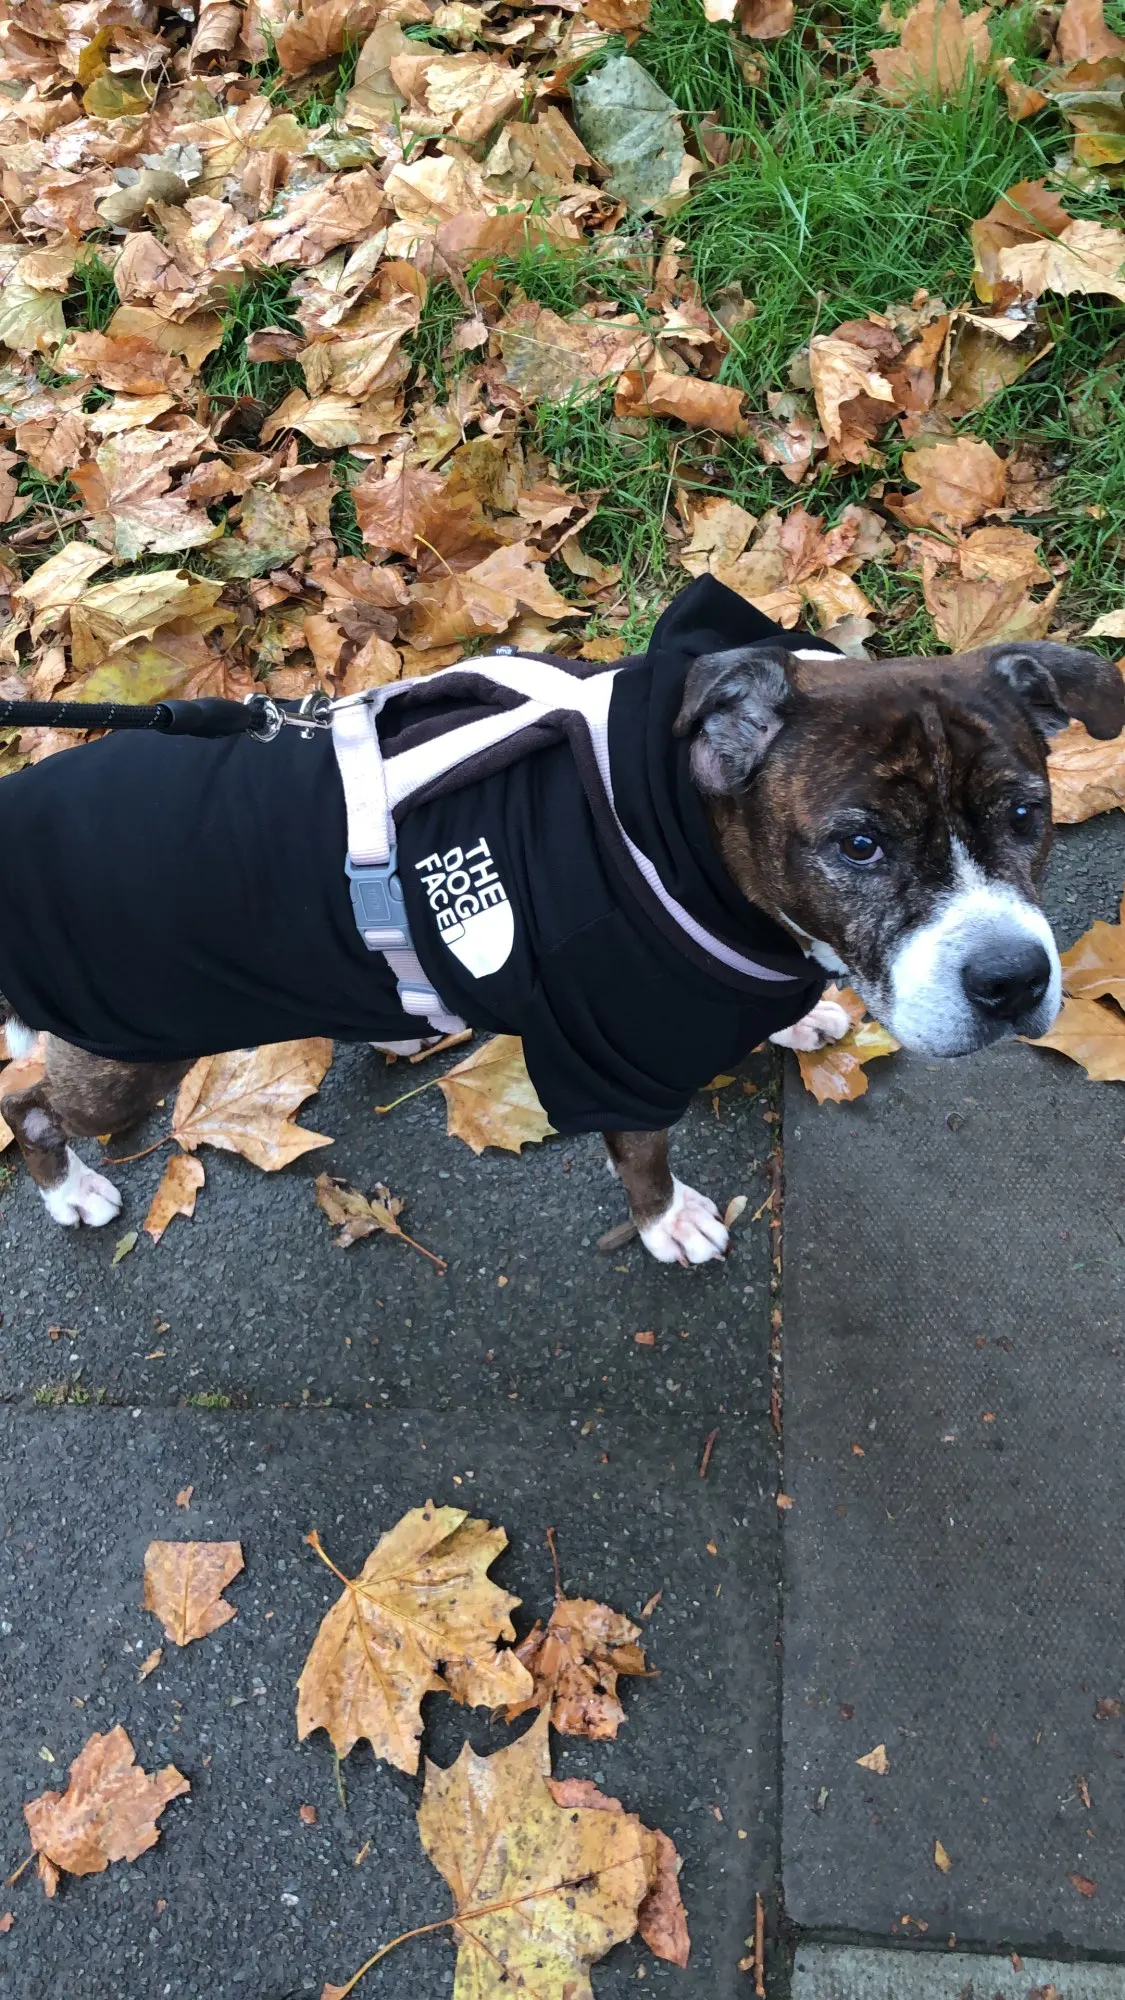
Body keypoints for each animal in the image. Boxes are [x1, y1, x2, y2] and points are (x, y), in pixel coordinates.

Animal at [1, 576, 1121, 1265]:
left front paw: (798, 1015)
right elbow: (642, 1153)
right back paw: (71, 1190)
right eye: (858, 846)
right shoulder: (606, 1053)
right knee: (31, 1105)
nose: (1012, 979)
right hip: (122, 1056)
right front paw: (668, 1224)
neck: (687, 833)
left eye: (1027, 815)